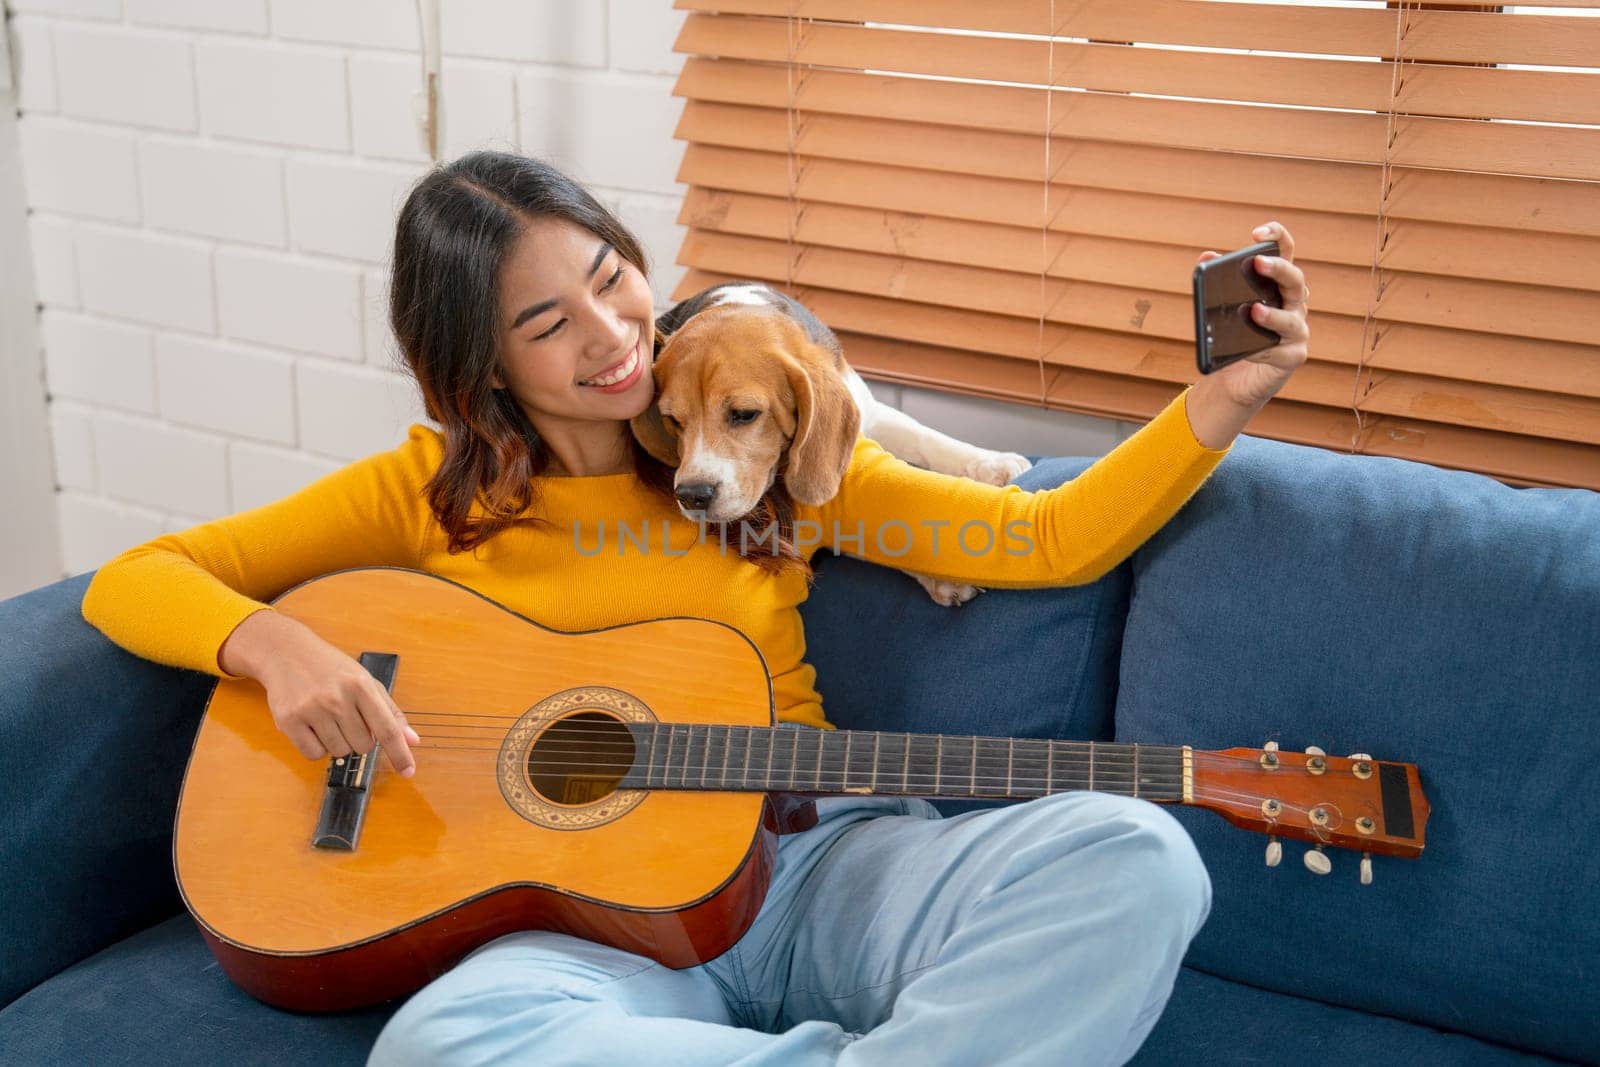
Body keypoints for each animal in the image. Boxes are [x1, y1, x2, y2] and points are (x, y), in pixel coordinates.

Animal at [630, 279, 1030, 604]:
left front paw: (992, 463)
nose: (692, 496)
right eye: (674, 421)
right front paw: (940, 577)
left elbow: (925, 438)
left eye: (744, 414)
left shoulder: (869, 412)